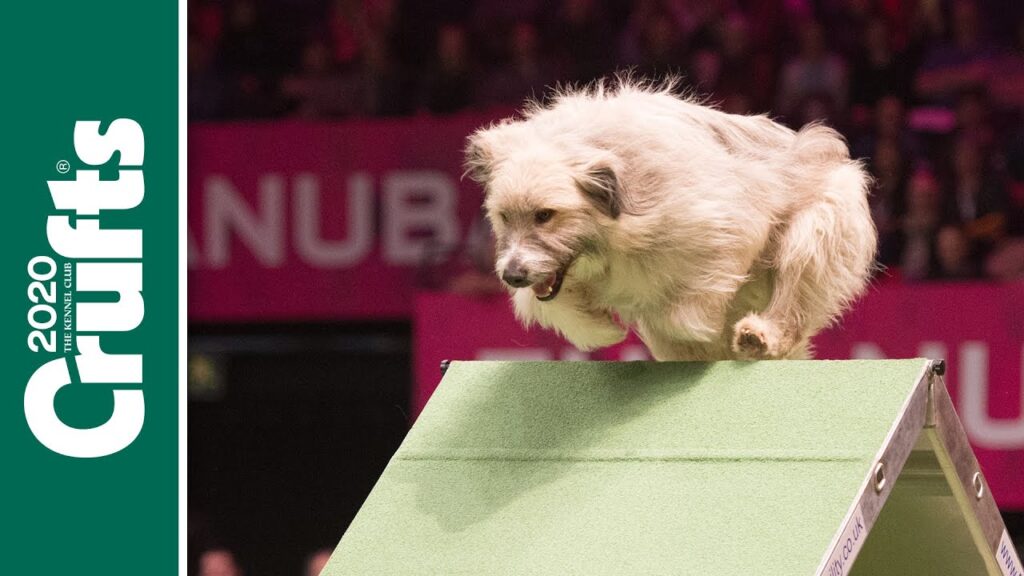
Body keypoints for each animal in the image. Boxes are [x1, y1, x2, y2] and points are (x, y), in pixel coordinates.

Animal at [464, 79, 872, 358]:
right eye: (504, 216)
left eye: (545, 215)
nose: (512, 275)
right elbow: (557, 308)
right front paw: (601, 329)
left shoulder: (720, 229)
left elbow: (678, 314)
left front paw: (696, 325)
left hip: (813, 233)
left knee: (793, 294)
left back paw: (760, 336)